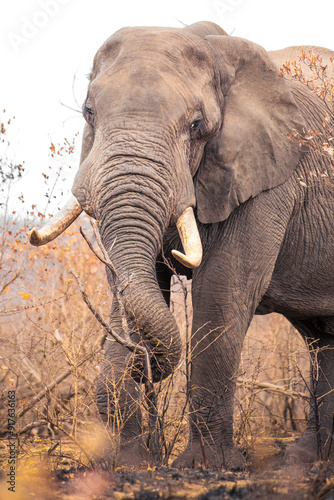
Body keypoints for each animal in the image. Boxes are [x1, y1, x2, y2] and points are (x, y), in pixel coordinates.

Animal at [30, 22, 334, 468]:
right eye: (88, 112)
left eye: (196, 125)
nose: (147, 366)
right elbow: (130, 287)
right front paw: (128, 464)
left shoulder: (268, 178)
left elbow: (221, 291)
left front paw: (206, 466)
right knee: (320, 336)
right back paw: (307, 459)